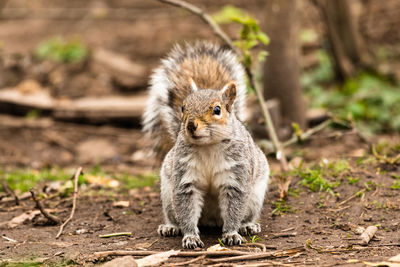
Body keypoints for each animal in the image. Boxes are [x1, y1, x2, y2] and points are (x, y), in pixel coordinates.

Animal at [142, 41, 270, 249]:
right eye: (183, 107)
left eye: (217, 110)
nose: (190, 125)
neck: (208, 146)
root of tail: (212, 221)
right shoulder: (185, 178)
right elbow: (186, 211)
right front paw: (190, 237)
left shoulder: (237, 176)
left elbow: (234, 209)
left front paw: (231, 233)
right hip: (168, 196)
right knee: (174, 215)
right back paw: (170, 227)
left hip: (255, 197)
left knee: (246, 214)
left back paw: (248, 225)